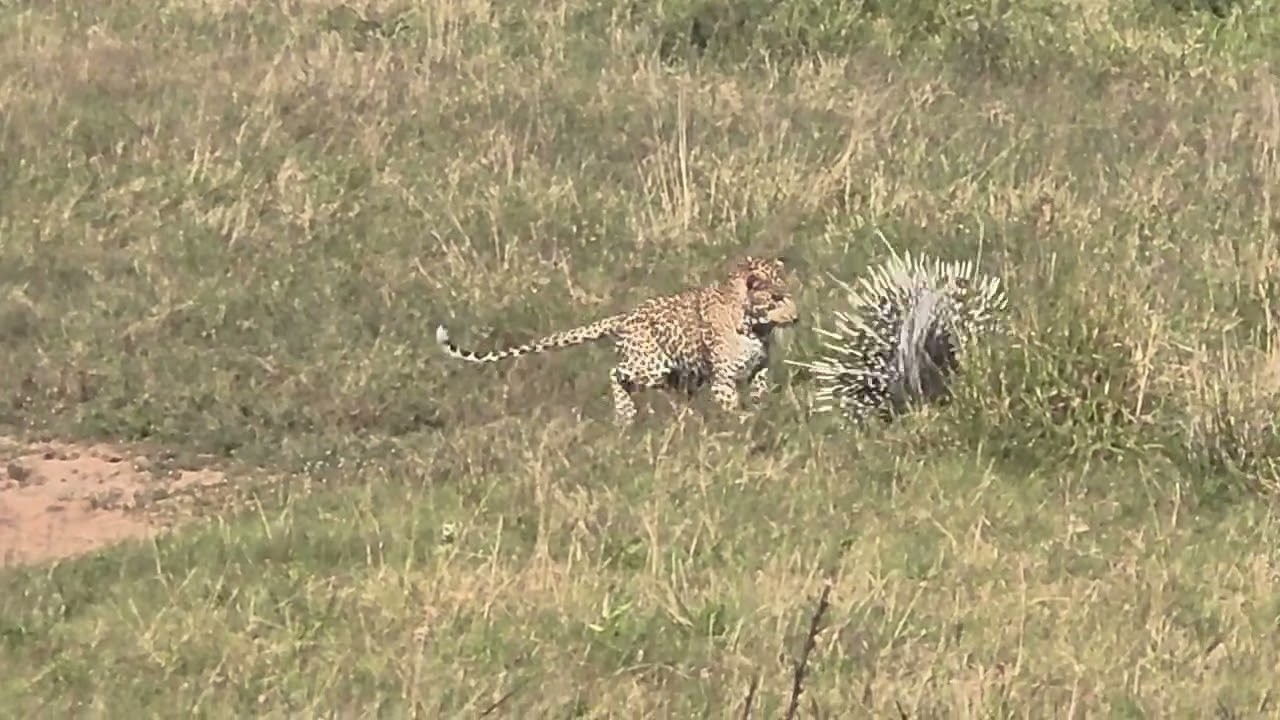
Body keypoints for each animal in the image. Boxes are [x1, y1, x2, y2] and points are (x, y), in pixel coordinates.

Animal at [435, 256, 800, 426]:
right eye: (776, 298)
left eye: (789, 294)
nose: (797, 318)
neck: (754, 326)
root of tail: (623, 318)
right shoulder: (723, 377)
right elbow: (730, 403)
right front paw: (741, 421)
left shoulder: (759, 368)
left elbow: (760, 390)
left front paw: (761, 410)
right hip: (650, 366)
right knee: (616, 373)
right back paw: (625, 414)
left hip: (674, 375)